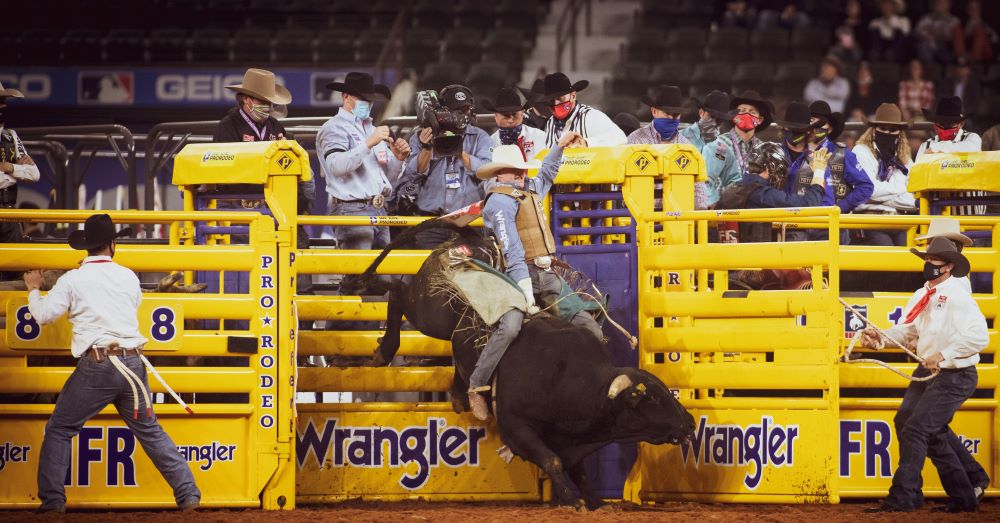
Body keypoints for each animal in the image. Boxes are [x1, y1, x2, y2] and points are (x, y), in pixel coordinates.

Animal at [346, 221, 696, 508]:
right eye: (651, 398)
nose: (690, 423)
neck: (571, 380)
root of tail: (470, 238)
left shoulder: (569, 439)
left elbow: (577, 468)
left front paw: (595, 501)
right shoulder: (517, 429)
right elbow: (553, 461)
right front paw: (571, 500)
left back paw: (461, 396)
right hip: (430, 312)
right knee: (397, 292)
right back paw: (383, 352)